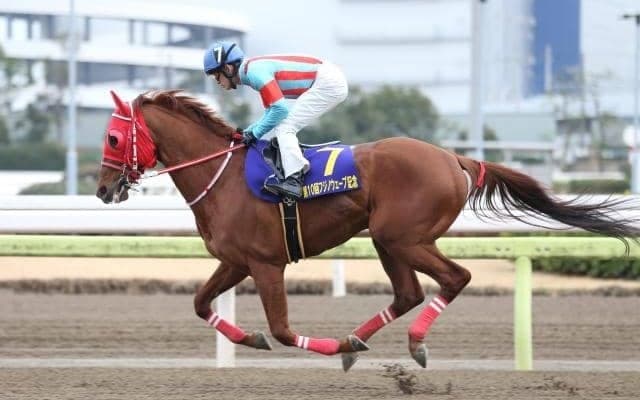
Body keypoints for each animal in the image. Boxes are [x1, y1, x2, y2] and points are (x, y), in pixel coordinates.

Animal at [96, 89, 640, 371]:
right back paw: (360, 339)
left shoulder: (266, 263)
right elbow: (199, 303)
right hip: (386, 238)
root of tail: (456, 158)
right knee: (408, 293)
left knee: (455, 278)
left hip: (404, 237)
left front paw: (321, 345)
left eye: (114, 137)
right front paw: (249, 338)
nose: (102, 189)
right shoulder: (234, 260)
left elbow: (283, 328)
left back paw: (407, 343)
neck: (223, 175)